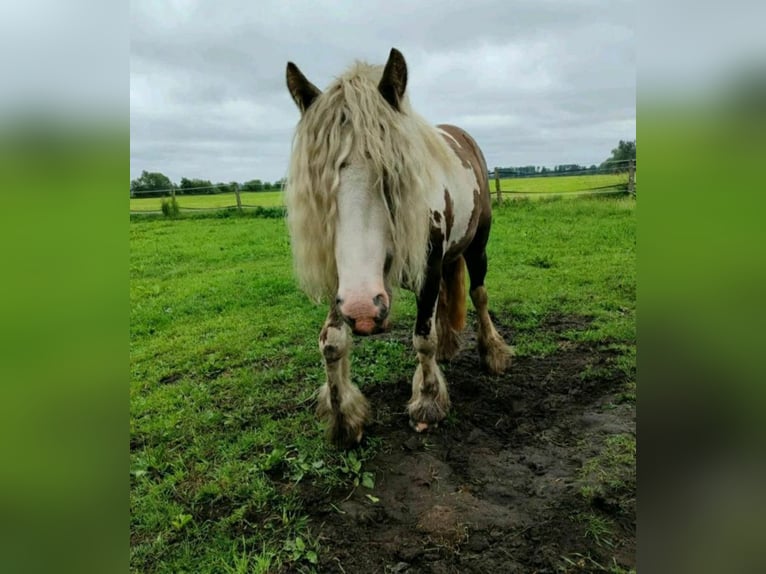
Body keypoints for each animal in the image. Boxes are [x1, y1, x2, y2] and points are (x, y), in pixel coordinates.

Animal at [284, 47, 512, 448]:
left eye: (393, 175)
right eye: (322, 187)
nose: (363, 309)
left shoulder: (427, 271)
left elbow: (423, 338)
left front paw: (427, 404)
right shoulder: (345, 282)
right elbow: (331, 342)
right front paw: (344, 418)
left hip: (477, 247)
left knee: (480, 295)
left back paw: (493, 352)